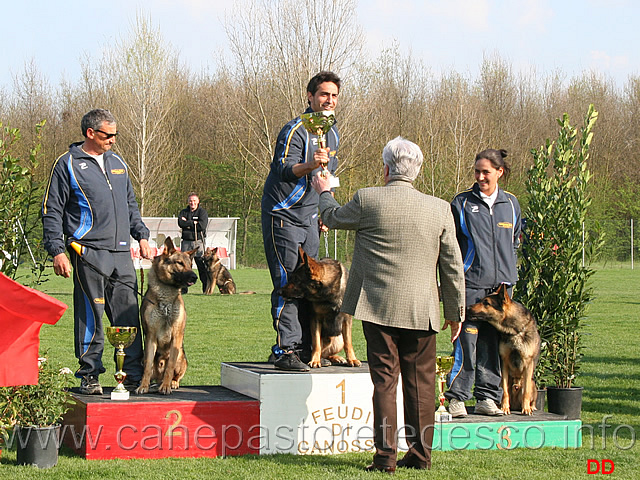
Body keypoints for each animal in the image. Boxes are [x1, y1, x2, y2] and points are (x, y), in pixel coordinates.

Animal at [139, 236, 199, 394]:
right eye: (180, 263)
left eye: (190, 264)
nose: (195, 277)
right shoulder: (151, 336)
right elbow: (148, 365)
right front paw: (143, 386)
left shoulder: (176, 335)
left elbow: (170, 366)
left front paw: (166, 387)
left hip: (181, 355)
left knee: (175, 374)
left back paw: (171, 383)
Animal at [464, 284, 540, 414]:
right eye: (481, 300)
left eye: (486, 303)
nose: (467, 307)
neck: (514, 331)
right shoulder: (504, 363)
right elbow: (505, 391)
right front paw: (505, 407)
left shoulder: (528, 363)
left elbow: (526, 392)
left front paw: (526, 409)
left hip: (532, 382)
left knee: (530, 393)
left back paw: (530, 407)